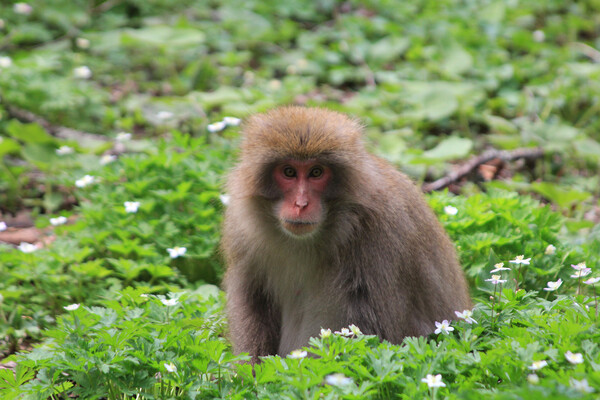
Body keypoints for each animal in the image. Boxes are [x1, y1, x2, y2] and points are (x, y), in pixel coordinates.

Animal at [223, 105, 472, 360]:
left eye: (316, 172)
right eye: (289, 172)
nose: (301, 204)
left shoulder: (382, 234)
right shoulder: (241, 231)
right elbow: (253, 305)